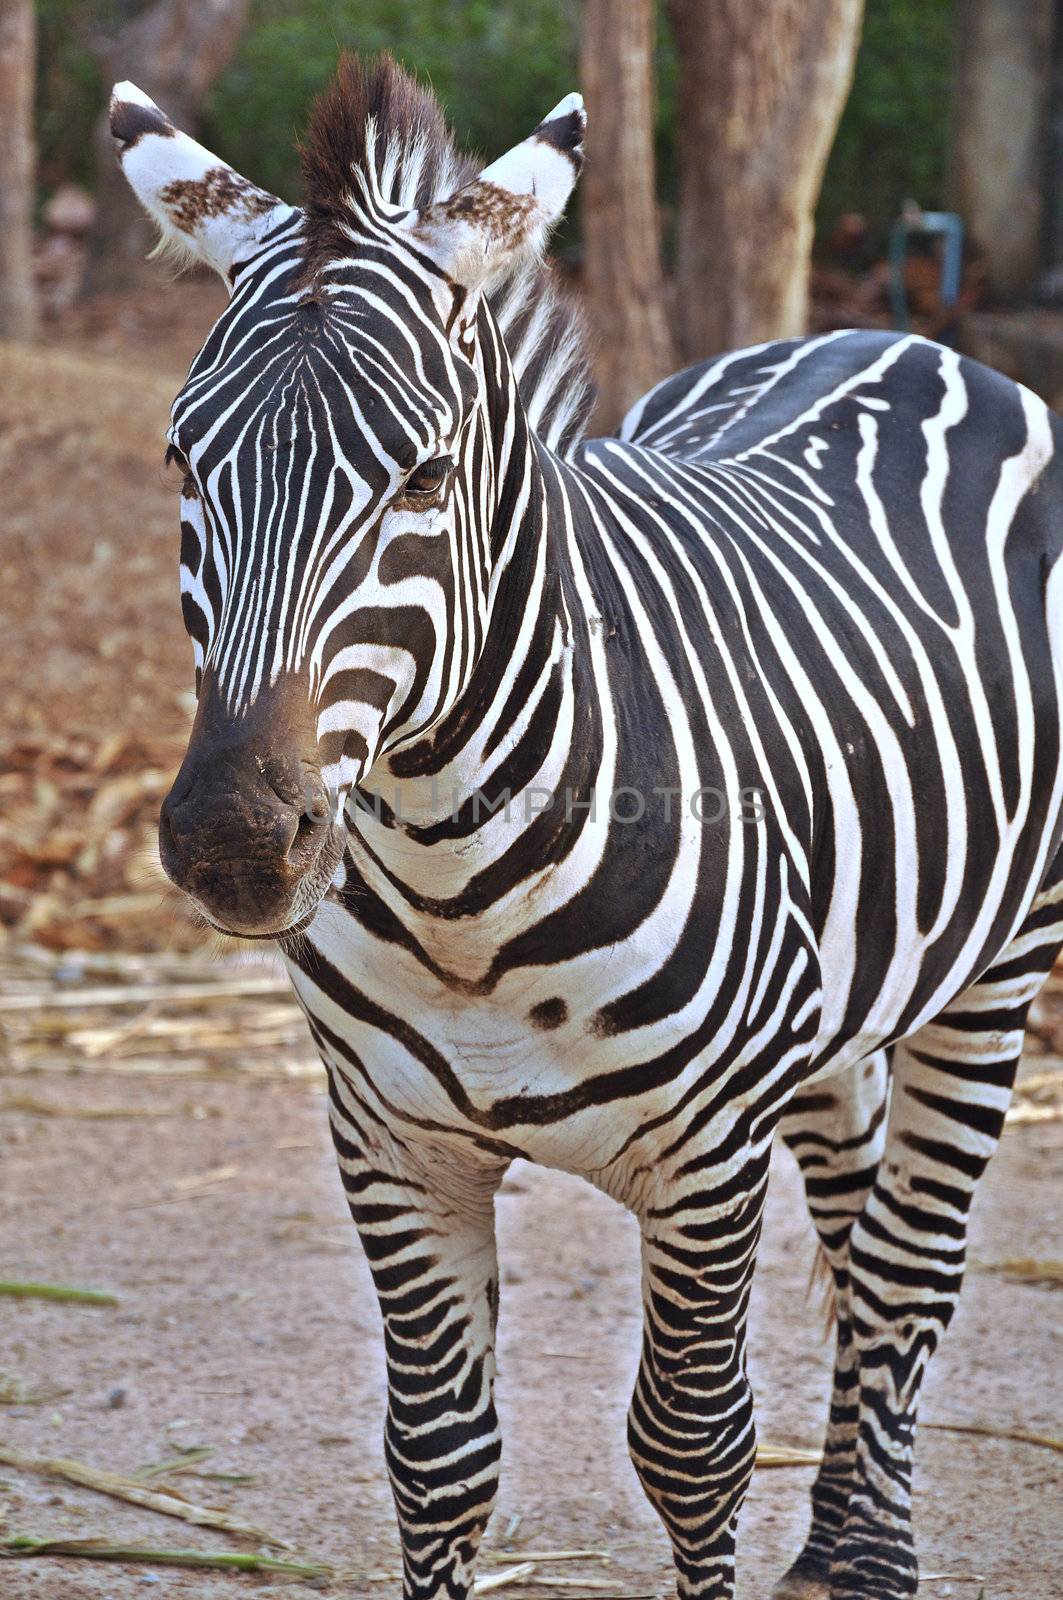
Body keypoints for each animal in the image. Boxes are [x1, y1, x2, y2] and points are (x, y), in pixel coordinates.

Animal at [109, 56, 1063, 1600]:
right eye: (185, 463)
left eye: (424, 479)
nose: (234, 841)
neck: (459, 887)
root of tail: (895, 335)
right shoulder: (391, 1145)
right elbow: (437, 1460)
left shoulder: (706, 1159)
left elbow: (691, 1448)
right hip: (840, 992)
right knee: (856, 1214)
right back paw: (837, 1533)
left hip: (996, 962)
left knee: (908, 1268)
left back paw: (869, 1552)